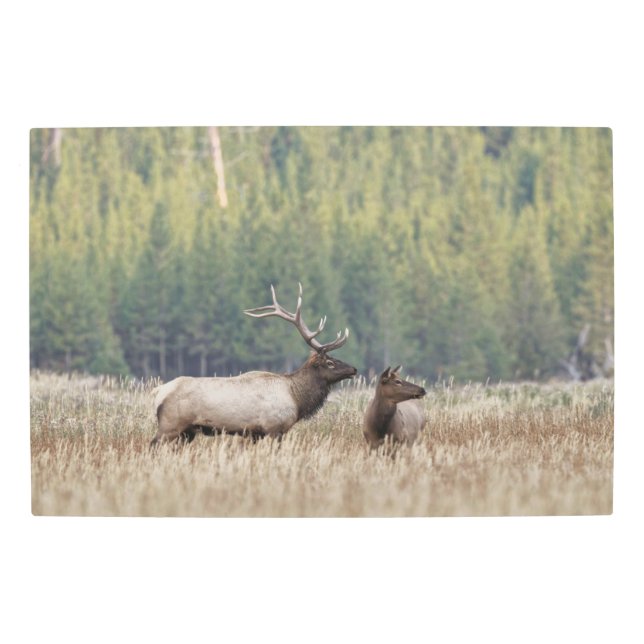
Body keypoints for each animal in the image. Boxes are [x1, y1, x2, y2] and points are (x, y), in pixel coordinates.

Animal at [150, 283, 357, 446]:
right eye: (330, 362)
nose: (354, 369)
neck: (296, 398)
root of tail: (158, 392)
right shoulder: (274, 428)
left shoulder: (254, 433)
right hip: (170, 425)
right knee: (153, 444)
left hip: (187, 432)